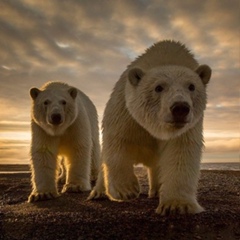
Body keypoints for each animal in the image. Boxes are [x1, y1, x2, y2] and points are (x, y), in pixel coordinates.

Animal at [88, 39, 212, 216]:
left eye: (192, 86)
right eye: (158, 87)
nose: (180, 108)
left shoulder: (188, 127)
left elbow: (180, 153)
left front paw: (177, 205)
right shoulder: (125, 111)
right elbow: (118, 142)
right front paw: (127, 190)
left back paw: (156, 191)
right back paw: (98, 192)